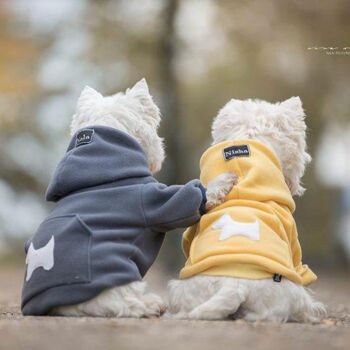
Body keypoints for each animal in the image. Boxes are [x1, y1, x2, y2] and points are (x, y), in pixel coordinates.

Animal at [21, 79, 235, 318]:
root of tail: (66, 304)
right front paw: (221, 181)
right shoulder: (152, 201)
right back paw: (152, 305)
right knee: (126, 304)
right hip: (116, 269)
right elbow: (185, 200)